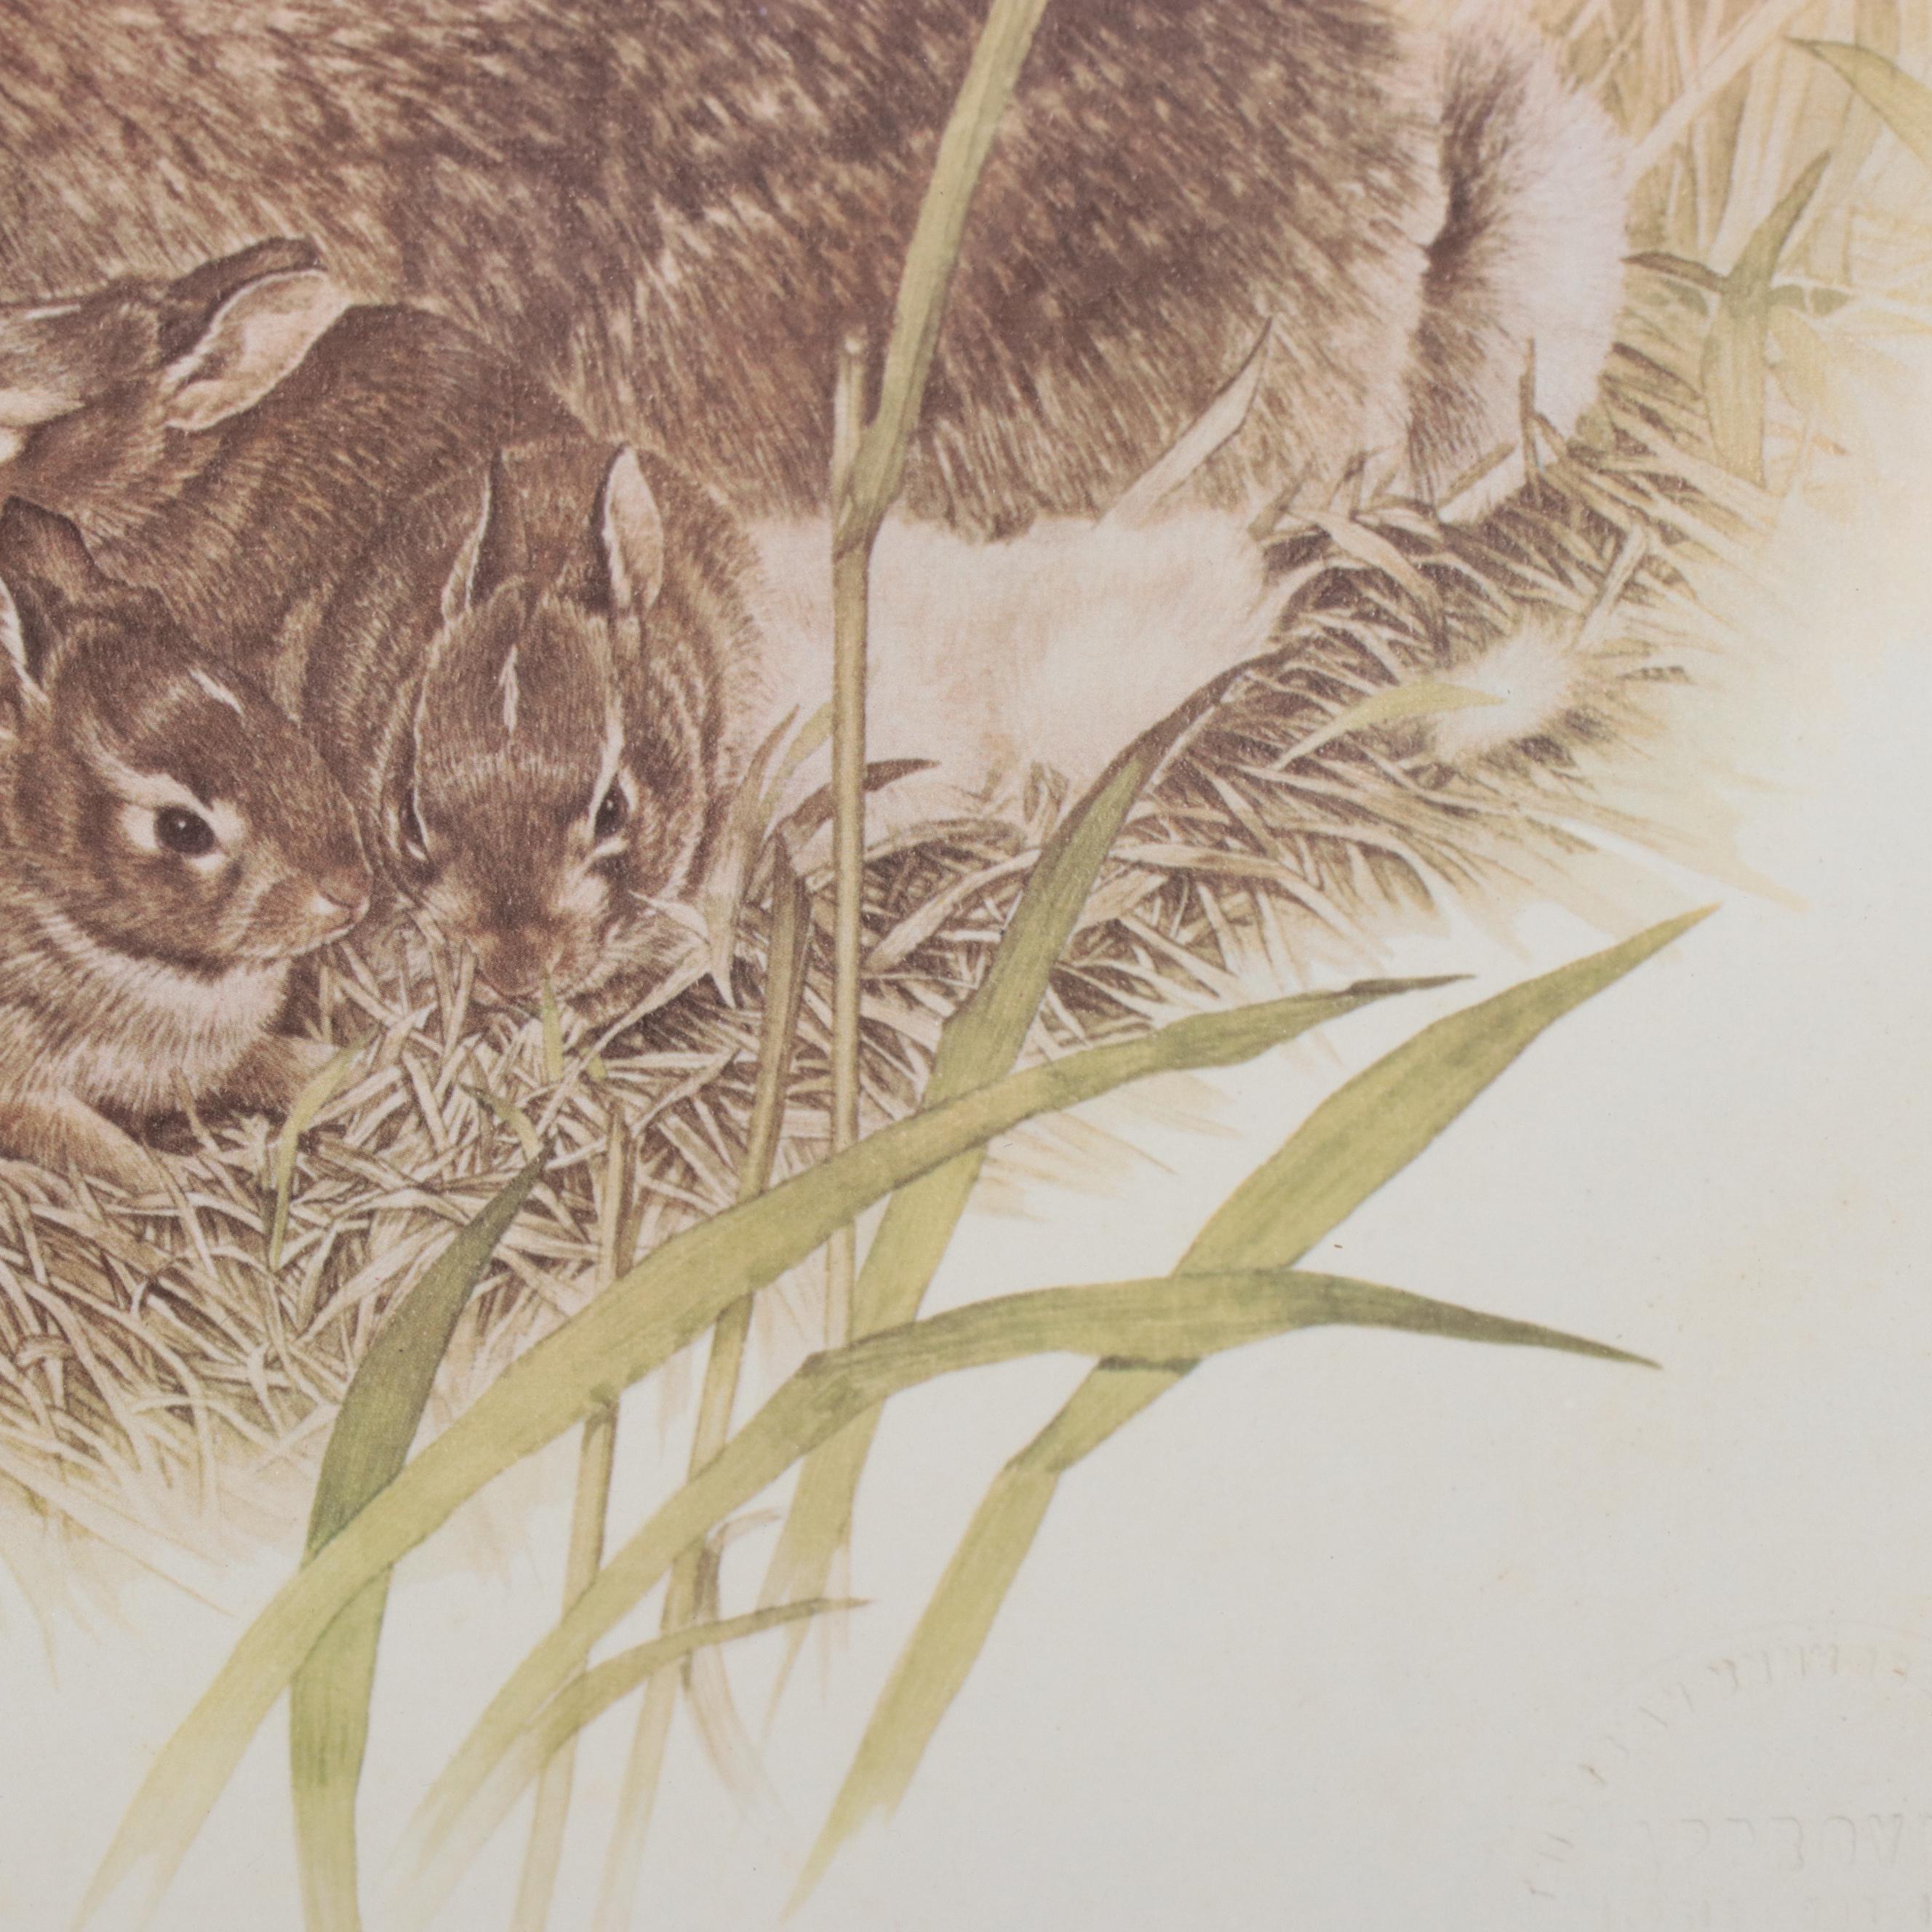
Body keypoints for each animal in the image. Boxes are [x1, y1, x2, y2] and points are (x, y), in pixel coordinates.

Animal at [0, 496, 371, 1193]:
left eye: (278, 720)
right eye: (181, 829)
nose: (352, 891)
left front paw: (359, 1070)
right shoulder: (22, 1085)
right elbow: (101, 1152)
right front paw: (190, 1187)